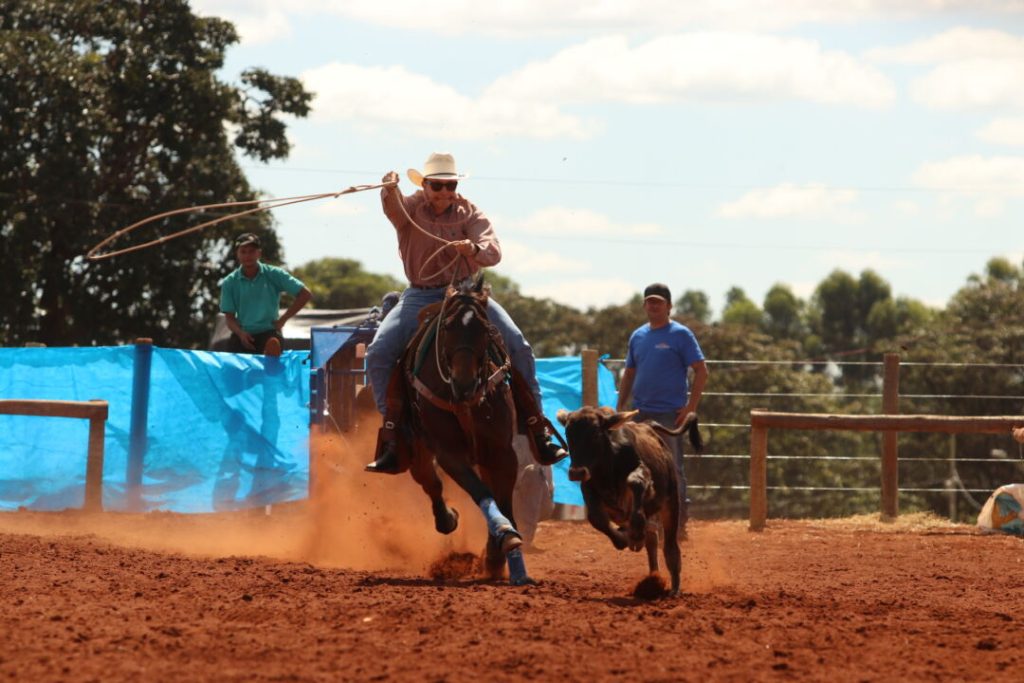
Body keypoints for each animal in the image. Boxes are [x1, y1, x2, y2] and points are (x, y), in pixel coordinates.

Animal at [397, 276, 532, 581]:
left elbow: (503, 498)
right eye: (447, 327)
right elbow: (481, 492)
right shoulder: (449, 453)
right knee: (429, 480)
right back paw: (447, 519)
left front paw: (501, 556)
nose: (464, 382)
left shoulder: (502, 451)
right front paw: (504, 536)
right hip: (416, 449)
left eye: (485, 328)